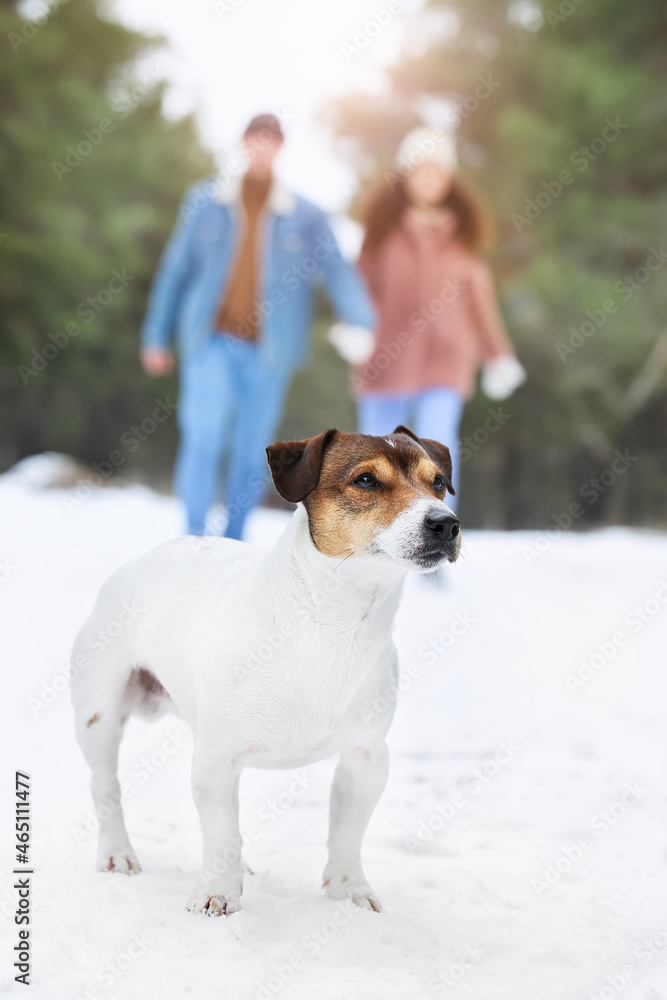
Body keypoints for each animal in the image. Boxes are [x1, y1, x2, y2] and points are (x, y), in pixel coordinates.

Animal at [72, 422, 460, 916]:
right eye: (366, 480)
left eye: (437, 482)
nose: (446, 523)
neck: (334, 625)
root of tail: (145, 558)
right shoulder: (216, 757)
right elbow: (220, 831)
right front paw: (217, 893)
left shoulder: (366, 757)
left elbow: (348, 833)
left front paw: (350, 890)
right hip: (98, 715)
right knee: (105, 788)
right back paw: (117, 853)